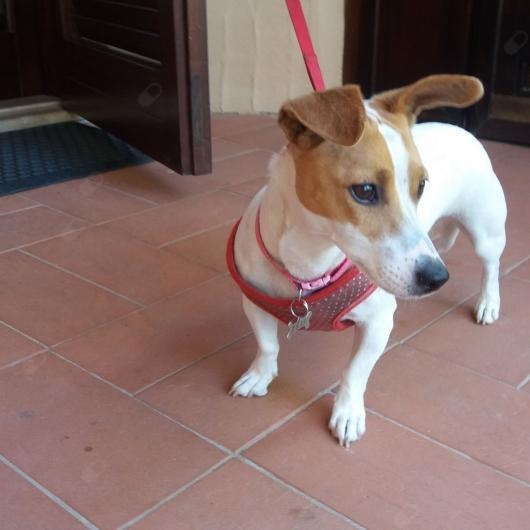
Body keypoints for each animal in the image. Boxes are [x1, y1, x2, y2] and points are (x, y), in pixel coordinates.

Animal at [226, 75, 507, 447]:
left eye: (421, 185)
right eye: (364, 190)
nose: (437, 277)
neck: (310, 260)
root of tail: (460, 129)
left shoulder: (378, 322)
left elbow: (354, 372)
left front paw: (347, 413)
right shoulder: (254, 302)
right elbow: (267, 344)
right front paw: (260, 375)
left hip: (486, 231)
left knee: (491, 267)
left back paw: (488, 302)